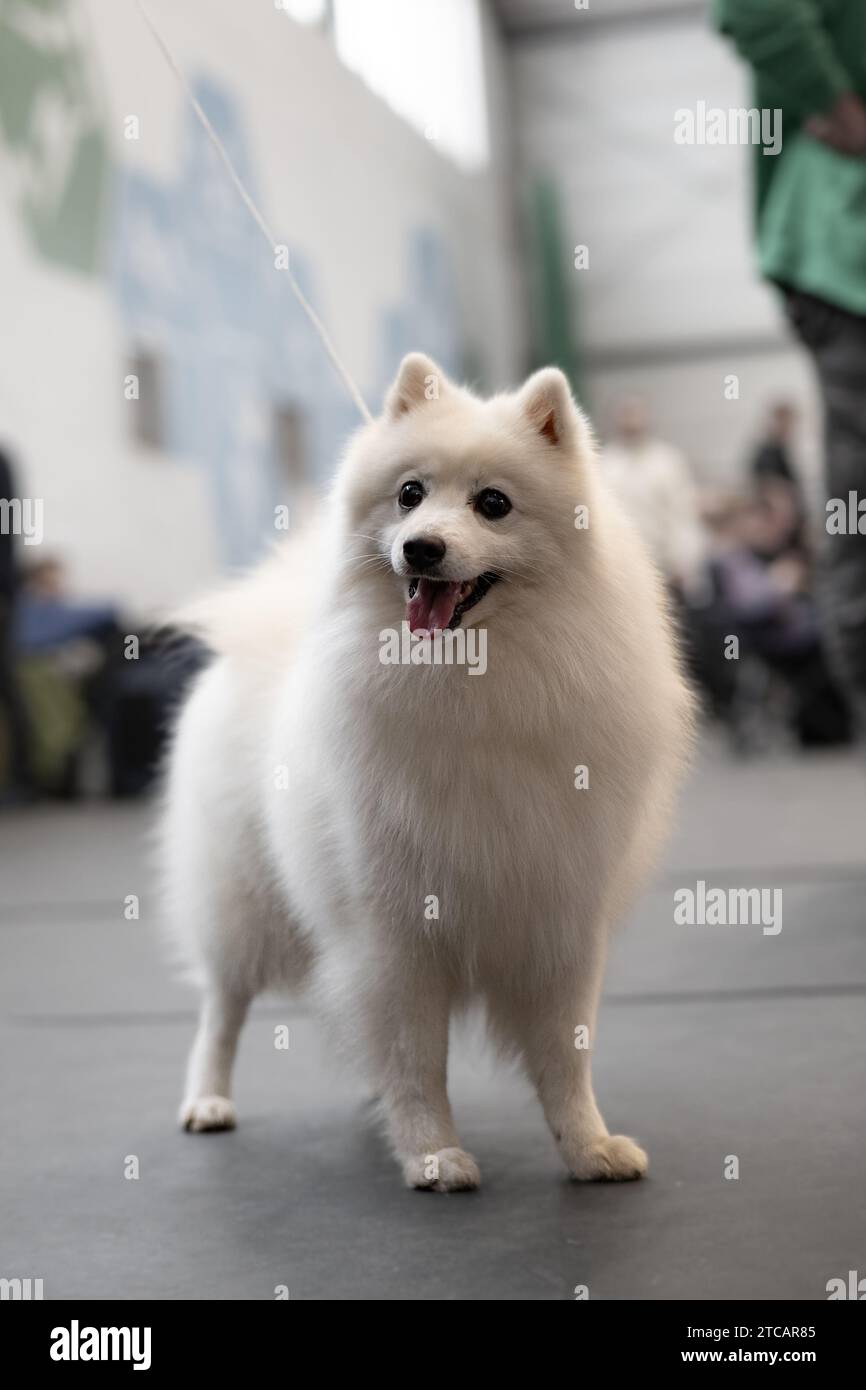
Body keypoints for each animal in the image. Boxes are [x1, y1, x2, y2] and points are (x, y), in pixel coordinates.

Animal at [161, 353, 692, 1189]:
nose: (420, 548)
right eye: (410, 494)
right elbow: (417, 1059)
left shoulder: (561, 915)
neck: (470, 683)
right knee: (223, 1005)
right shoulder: (394, 930)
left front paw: (589, 1147)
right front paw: (434, 1154)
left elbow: (565, 1057)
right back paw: (208, 1101)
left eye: (493, 504)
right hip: (240, 901)